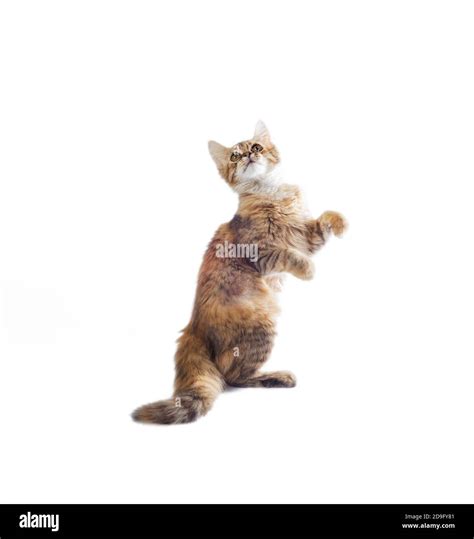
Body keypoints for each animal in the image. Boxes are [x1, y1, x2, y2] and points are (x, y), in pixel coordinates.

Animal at [131, 121, 346, 426]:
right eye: (234, 155)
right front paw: (307, 270)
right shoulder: (259, 252)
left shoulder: (306, 238)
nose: (248, 156)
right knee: (233, 377)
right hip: (261, 327)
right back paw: (278, 377)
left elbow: (324, 219)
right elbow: (288, 256)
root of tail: (193, 326)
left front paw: (340, 222)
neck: (272, 193)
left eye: (256, 147)